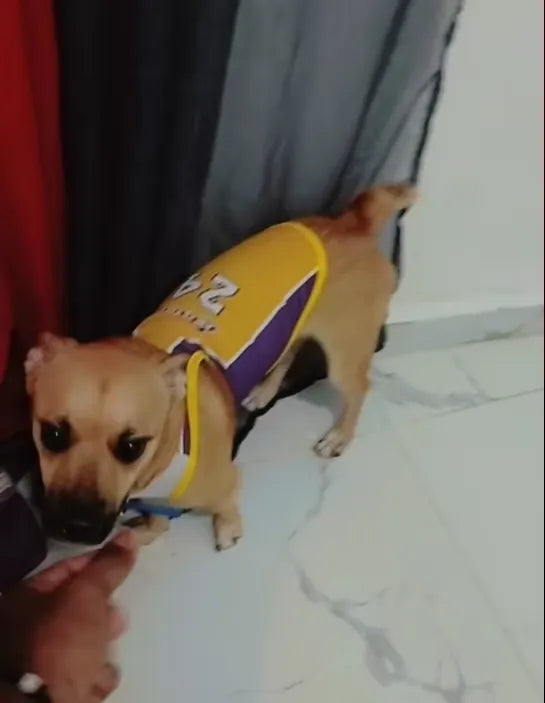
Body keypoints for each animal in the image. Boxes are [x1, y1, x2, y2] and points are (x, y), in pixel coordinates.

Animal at [25, 184, 417, 550]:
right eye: (52, 435)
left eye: (132, 446)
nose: (76, 528)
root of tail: (353, 223)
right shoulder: (154, 501)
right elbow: (157, 519)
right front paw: (144, 533)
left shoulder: (224, 482)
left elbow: (224, 506)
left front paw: (226, 528)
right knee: (288, 352)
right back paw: (263, 392)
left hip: (344, 353)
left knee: (358, 389)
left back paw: (339, 436)